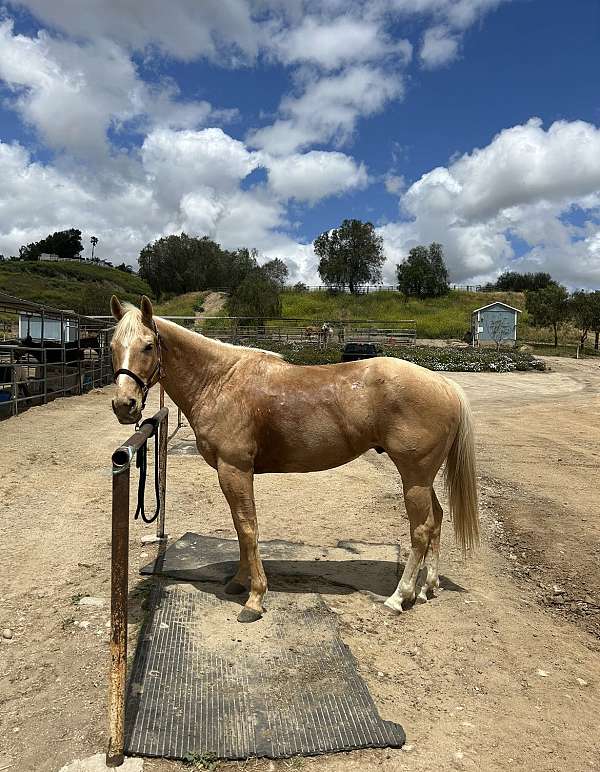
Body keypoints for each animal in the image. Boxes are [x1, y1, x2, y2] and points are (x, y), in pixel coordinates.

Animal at [110, 296, 480, 620]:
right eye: (112, 346)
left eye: (148, 346)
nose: (124, 405)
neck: (220, 381)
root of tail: (445, 384)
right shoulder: (233, 473)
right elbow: (240, 526)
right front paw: (240, 582)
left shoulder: (234, 469)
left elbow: (248, 527)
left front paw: (255, 598)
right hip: (422, 478)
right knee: (436, 520)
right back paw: (426, 588)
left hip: (414, 477)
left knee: (421, 530)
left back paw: (399, 597)